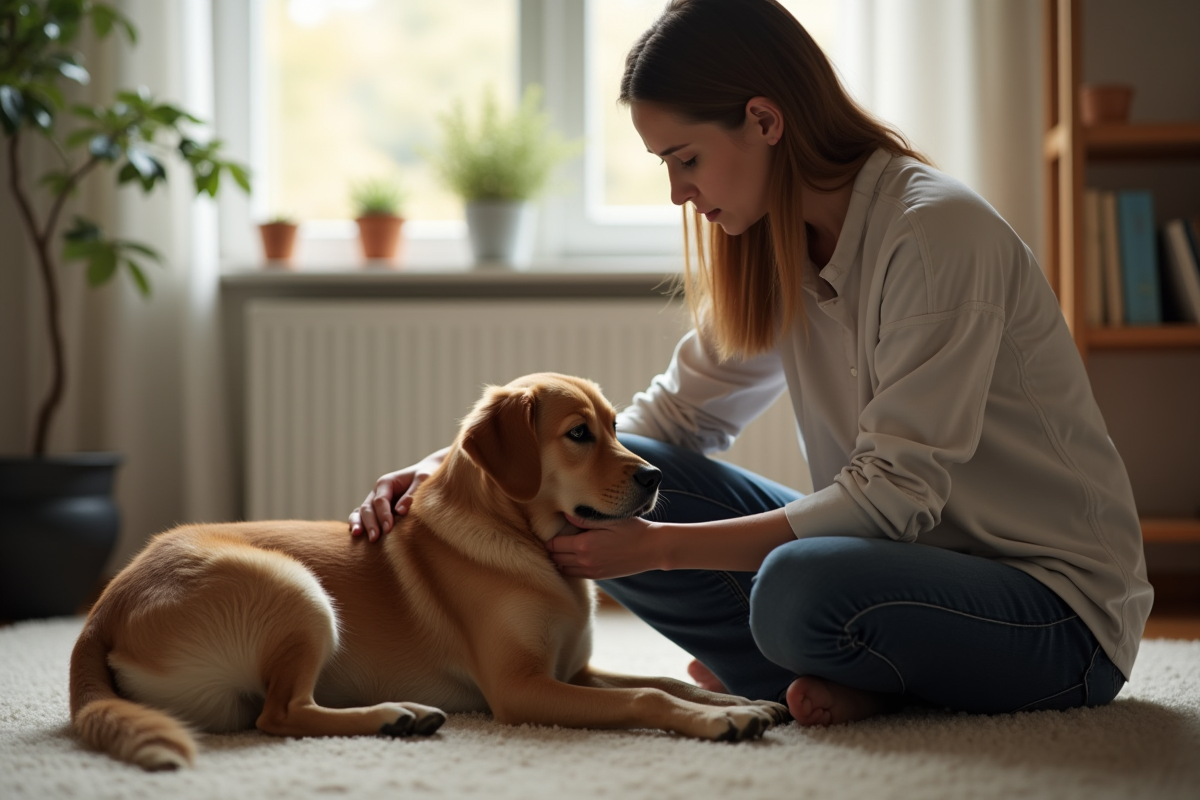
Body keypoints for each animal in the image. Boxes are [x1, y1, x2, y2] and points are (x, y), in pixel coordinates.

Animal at [70, 376, 792, 767]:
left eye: (616, 426)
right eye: (579, 434)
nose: (656, 477)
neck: (524, 542)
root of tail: (102, 609)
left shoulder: (575, 670)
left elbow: (666, 679)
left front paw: (739, 701)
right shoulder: (522, 689)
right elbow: (647, 698)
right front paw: (719, 723)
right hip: (294, 590)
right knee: (280, 715)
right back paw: (397, 715)